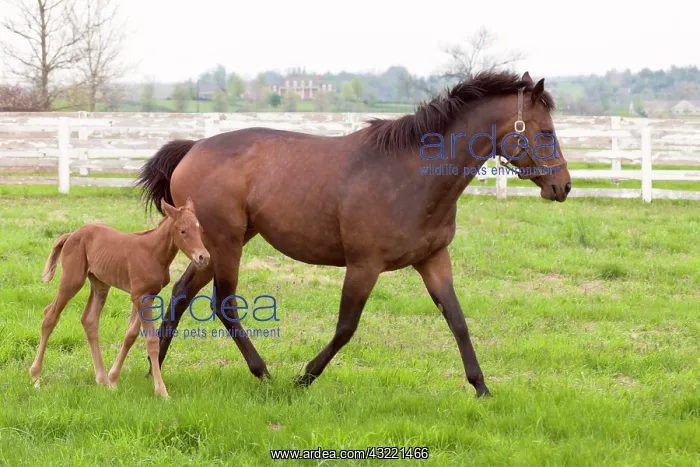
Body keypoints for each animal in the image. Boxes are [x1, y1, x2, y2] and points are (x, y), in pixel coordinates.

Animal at [30, 198, 210, 398]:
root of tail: (71, 235)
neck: (153, 252)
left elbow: (131, 335)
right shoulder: (140, 297)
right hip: (73, 279)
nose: (203, 257)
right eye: (183, 231)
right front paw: (161, 391)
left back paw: (102, 379)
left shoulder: (146, 296)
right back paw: (36, 376)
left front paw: (113, 379)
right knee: (50, 315)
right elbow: (151, 341)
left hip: (100, 284)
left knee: (89, 320)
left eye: (199, 229)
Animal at [135, 70, 571, 398]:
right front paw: (304, 377)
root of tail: (193, 148)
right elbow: (346, 327)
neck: (412, 176)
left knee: (181, 293)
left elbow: (457, 319)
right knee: (223, 304)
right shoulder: (364, 265)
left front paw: (481, 388)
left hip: (218, 246)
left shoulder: (433, 259)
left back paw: (154, 370)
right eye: (546, 132)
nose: (563, 186)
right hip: (226, 245)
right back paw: (264, 373)